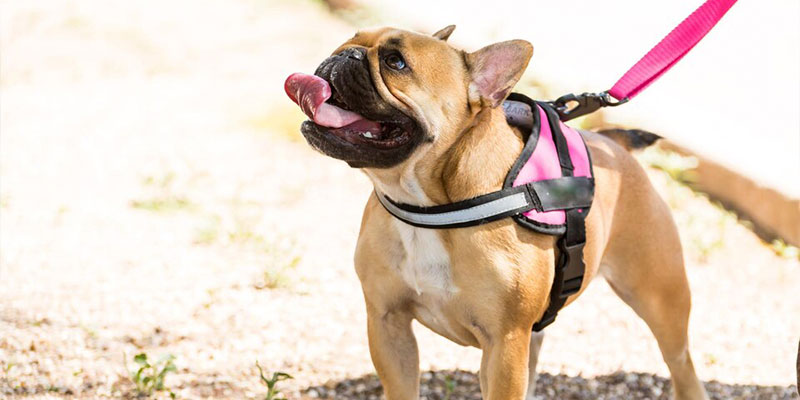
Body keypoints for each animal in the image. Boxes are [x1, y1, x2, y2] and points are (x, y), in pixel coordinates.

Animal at [282, 25, 708, 400]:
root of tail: (612, 144)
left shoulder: (503, 345)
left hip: (660, 299)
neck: (430, 205)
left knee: (681, 362)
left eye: (395, 62)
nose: (345, 54)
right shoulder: (388, 323)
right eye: (350, 39)